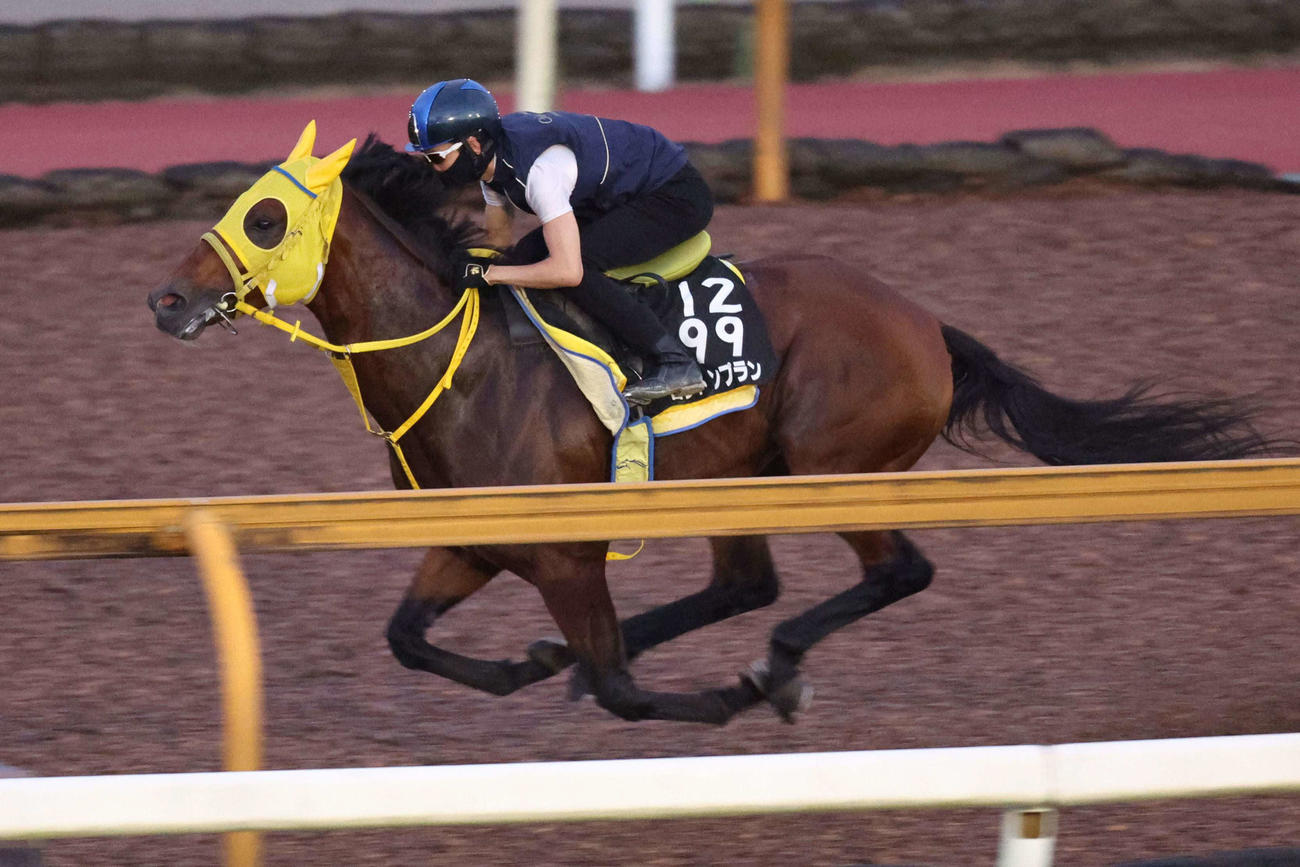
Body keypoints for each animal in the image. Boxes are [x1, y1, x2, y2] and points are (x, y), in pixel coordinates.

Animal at [148, 128, 1276, 724]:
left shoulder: (565, 556)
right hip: (743, 476)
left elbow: (621, 690)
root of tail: (925, 324)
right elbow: (407, 638)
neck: (458, 366)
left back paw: (773, 667)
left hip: (835, 468)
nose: (164, 300)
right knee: (747, 582)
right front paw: (520, 666)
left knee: (891, 572)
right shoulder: (472, 542)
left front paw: (711, 696)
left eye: (263, 218)